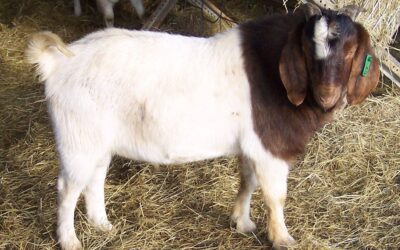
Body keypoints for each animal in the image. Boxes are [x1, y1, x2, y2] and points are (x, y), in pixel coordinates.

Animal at [26, 2, 380, 249]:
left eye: (351, 49)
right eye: (307, 48)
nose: (326, 94)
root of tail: (62, 60)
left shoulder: (250, 145)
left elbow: (248, 182)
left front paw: (242, 223)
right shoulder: (270, 148)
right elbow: (275, 195)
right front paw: (282, 238)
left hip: (98, 139)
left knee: (95, 177)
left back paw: (102, 224)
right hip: (77, 137)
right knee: (68, 187)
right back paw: (70, 240)